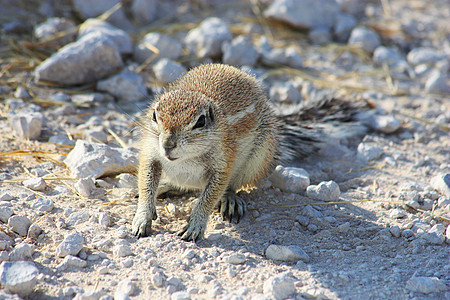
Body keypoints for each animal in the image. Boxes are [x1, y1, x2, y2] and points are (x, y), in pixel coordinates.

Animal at [133, 63, 366, 241]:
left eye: (200, 122)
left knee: (229, 187)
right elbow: (146, 183)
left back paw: (230, 199)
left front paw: (195, 225)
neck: (184, 158)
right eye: (154, 116)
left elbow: (210, 196)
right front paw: (142, 216)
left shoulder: (223, 162)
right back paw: (165, 186)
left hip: (257, 160)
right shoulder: (151, 153)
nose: (167, 144)